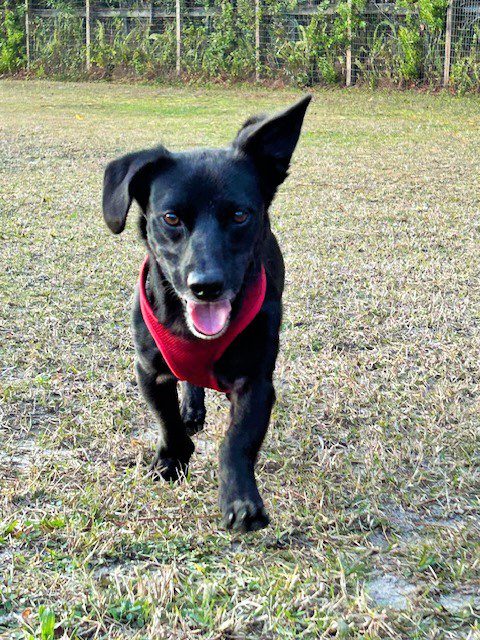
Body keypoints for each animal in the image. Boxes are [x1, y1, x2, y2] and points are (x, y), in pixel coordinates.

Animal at [102, 95, 312, 532]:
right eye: (170, 218)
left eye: (239, 215)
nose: (206, 285)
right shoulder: (149, 370)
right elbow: (168, 422)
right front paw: (171, 460)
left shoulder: (256, 383)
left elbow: (237, 440)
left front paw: (240, 499)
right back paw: (192, 407)